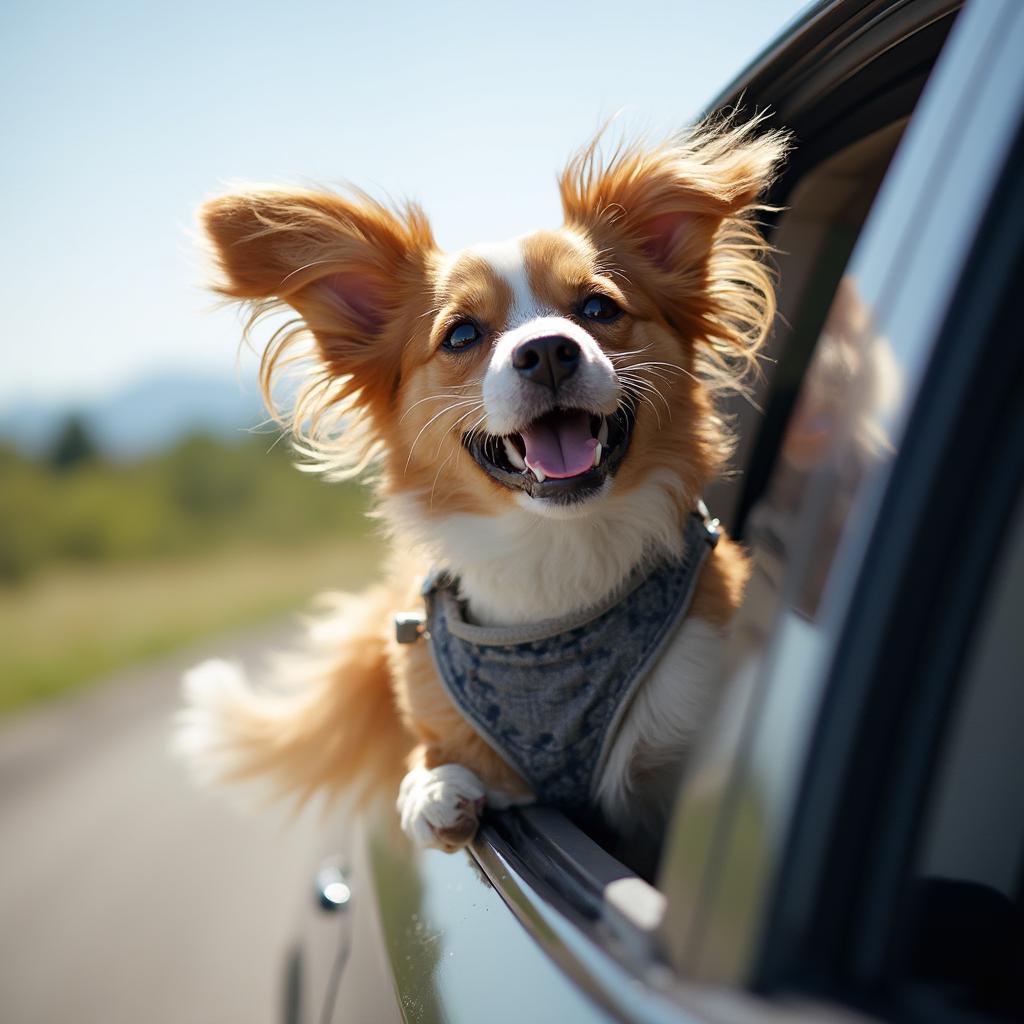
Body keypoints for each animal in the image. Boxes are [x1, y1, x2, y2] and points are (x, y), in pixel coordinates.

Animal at [174, 119, 782, 856]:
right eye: (462, 334)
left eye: (598, 306)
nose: (547, 349)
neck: (557, 557)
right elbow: (433, 755)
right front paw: (432, 788)